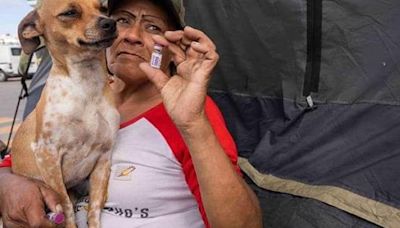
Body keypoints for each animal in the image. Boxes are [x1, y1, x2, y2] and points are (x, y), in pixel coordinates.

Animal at [11, 0, 119, 227]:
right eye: (69, 13)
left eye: (103, 8)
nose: (110, 23)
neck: (86, 87)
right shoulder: (47, 155)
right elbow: (66, 206)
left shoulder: (104, 157)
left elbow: (94, 208)